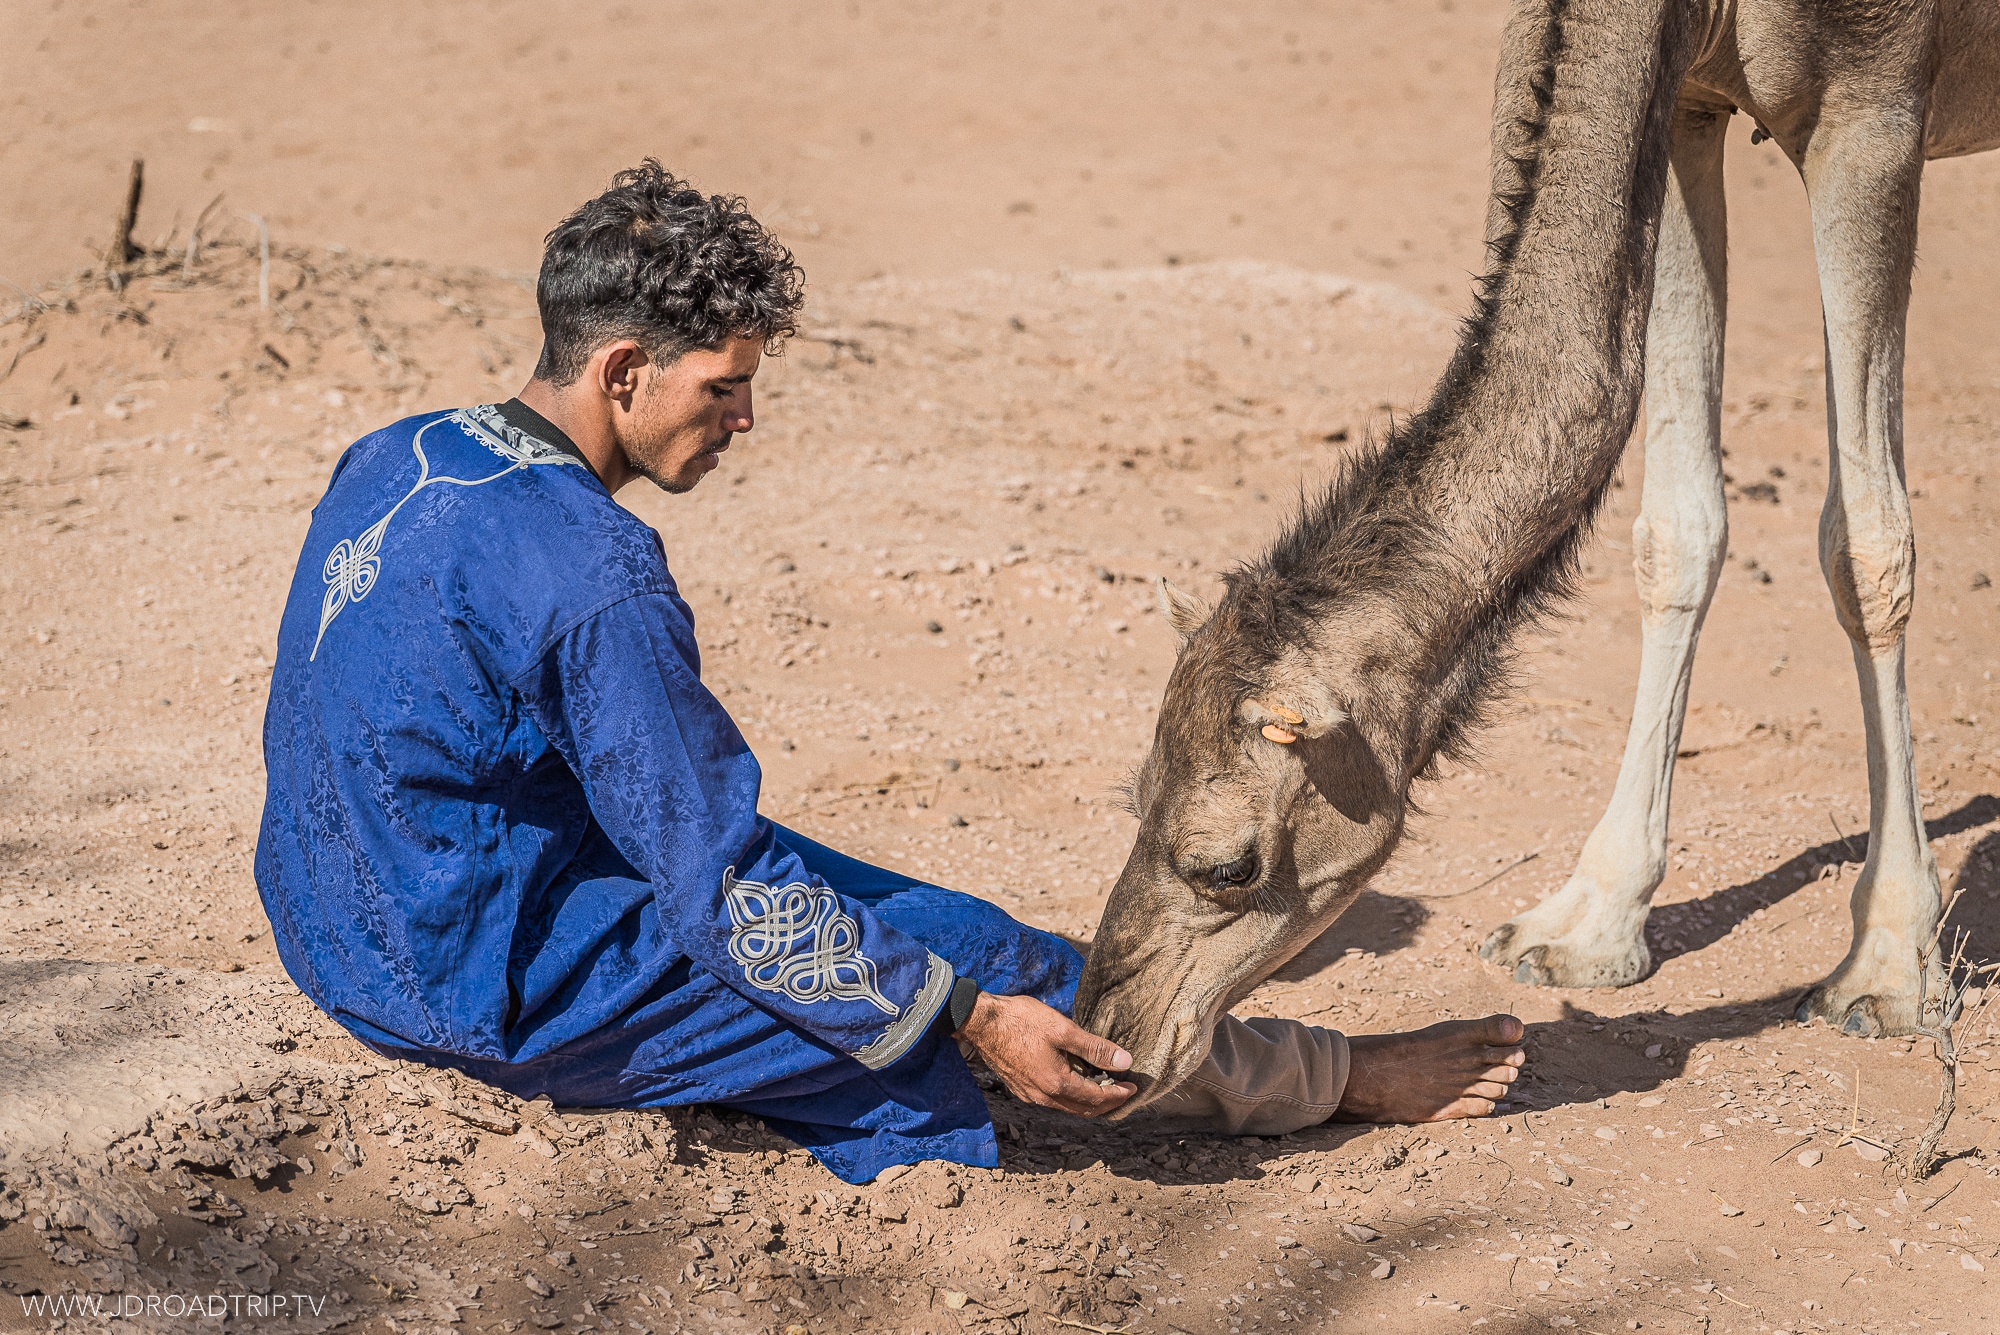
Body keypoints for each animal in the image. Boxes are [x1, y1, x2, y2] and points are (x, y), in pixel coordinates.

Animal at [1072, 0, 2000, 1111]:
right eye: (1132, 799)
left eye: (1227, 865)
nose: (1103, 1040)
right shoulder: (1686, 100)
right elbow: (1676, 521)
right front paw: (1587, 926)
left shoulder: (1875, 106)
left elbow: (1865, 542)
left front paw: (1886, 970)